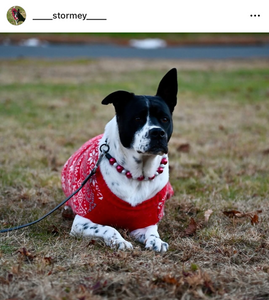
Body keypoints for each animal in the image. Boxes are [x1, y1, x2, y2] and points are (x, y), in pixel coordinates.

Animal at [61, 67, 177, 251]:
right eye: (137, 118)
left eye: (165, 119)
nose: (157, 132)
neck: (139, 174)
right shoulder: (81, 223)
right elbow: (108, 228)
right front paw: (119, 241)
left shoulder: (143, 223)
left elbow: (152, 231)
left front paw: (156, 241)